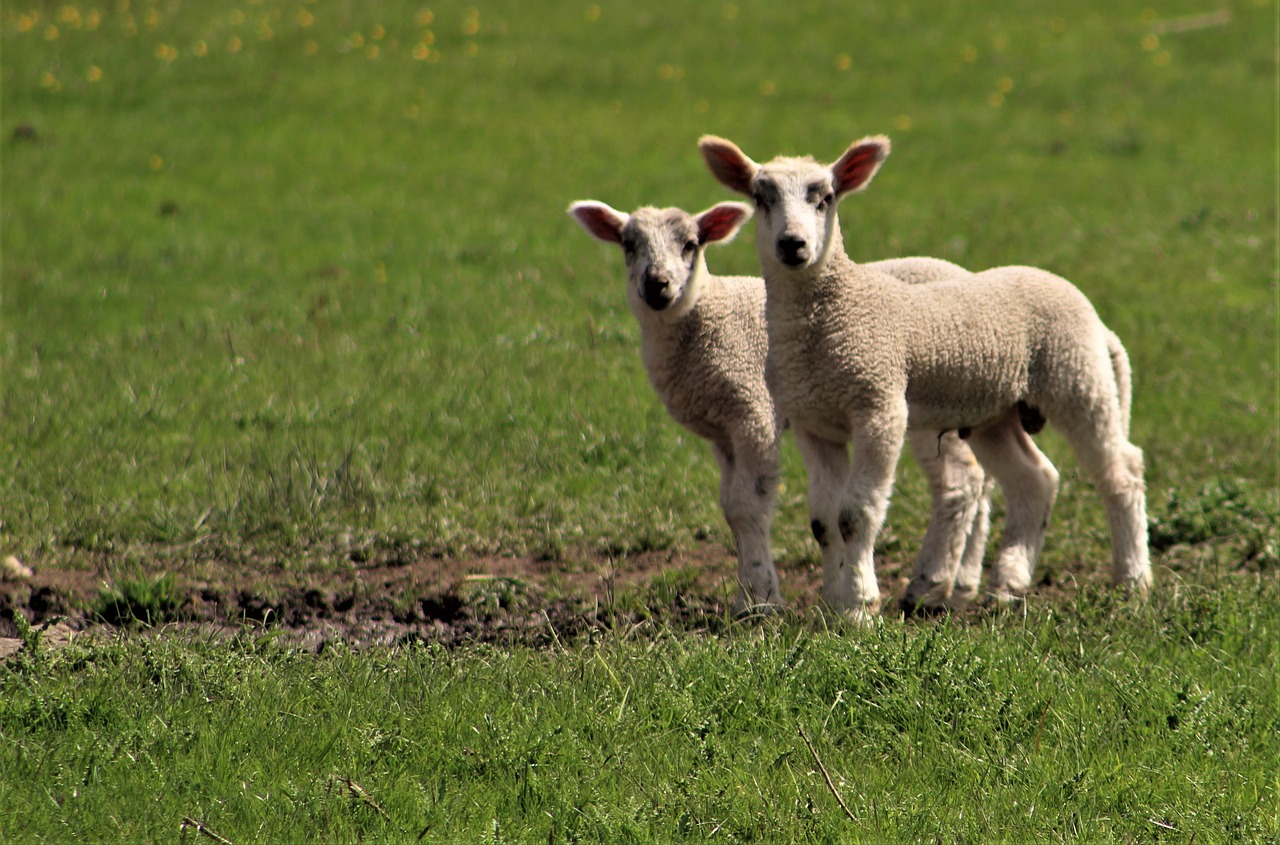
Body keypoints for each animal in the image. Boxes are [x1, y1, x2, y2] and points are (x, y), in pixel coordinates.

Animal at [565, 202, 993, 617]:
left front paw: (760, 601)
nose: (657, 284)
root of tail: (963, 272)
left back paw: (929, 586)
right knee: (980, 480)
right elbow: (730, 507)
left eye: (690, 244)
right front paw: (750, 595)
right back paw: (964, 585)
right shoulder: (723, 433)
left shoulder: (753, 411)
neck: (703, 318)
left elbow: (746, 506)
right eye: (628, 244)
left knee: (959, 483)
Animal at [701, 133, 1152, 619]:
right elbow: (823, 521)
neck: (827, 322)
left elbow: (854, 515)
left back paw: (1133, 580)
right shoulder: (813, 422)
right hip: (995, 410)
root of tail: (1097, 321)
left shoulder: (879, 405)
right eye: (760, 198)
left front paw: (860, 607)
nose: (792, 244)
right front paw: (835, 604)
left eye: (825, 198)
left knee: (1122, 472)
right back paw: (1007, 585)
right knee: (1034, 479)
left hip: (1077, 377)